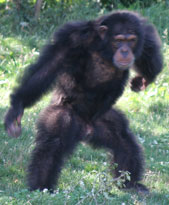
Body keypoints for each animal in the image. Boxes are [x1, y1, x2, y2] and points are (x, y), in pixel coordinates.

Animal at [4, 10, 162, 194]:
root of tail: (86, 130)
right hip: (63, 113)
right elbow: (50, 66)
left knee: (122, 138)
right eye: (119, 40)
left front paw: (144, 79)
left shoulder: (140, 30)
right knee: (53, 142)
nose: (124, 50)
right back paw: (41, 188)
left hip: (103, 121)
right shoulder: (73, 38)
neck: (104, 47)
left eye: (131, 40)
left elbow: (149, 47)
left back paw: (131, 184)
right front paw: (16, 107)